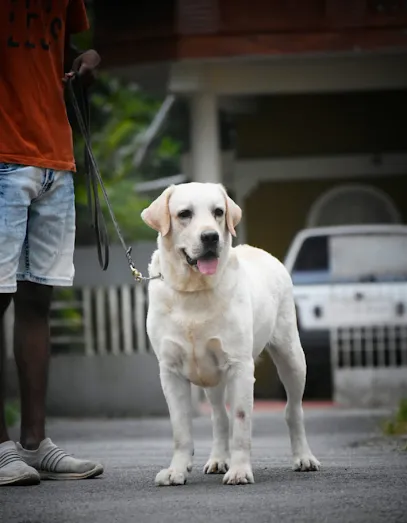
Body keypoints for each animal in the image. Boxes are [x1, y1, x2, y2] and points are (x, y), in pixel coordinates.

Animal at [142, 182, 320, 486]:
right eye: (184, 214)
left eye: (218, 212)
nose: (211, 237)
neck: (194, 290)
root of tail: (259, 250)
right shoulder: (170, 371)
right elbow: (181, 429)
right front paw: (177, 470)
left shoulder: (240, 366)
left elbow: (240, 421)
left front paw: (239, 470)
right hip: (210, 376)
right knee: (218, 416)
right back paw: (217, 460)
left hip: (291, 355)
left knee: (293, 410)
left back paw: (304, 457)